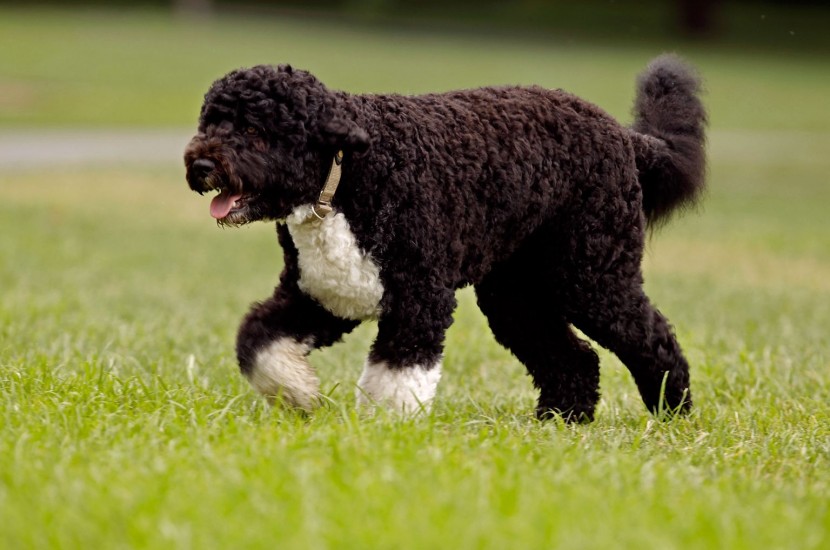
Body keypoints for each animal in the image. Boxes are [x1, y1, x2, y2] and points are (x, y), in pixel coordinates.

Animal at [185, 55, 704, 422]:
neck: (347, 176)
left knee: (653, 337)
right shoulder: (320, 295)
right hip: (516, 294)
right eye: (210, 121)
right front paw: (299, 393)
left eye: (254, 129)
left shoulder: (420, 298)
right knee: (573, 358)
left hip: (591, 275)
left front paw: (384, 433)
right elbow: (258, 341)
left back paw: (672, 410)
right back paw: (559, 421)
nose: (200, 164)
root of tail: (624, 136)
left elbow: (397, 376)